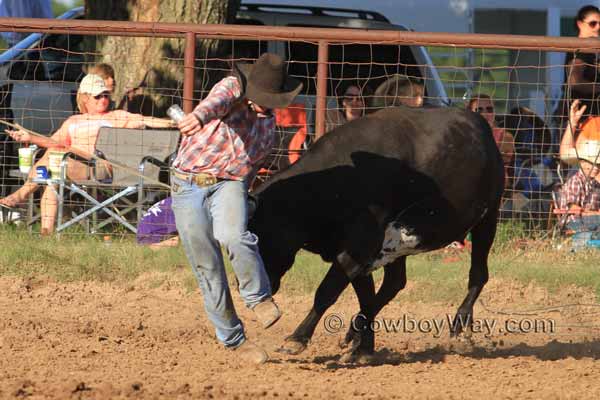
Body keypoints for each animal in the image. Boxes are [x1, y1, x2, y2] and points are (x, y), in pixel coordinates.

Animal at [246, 106, 504, 360]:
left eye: (258, 239)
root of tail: (478, 121)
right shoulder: (359, 254)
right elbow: (366, 296)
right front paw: (364, 347)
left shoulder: (360, 248)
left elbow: (326, 292)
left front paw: (297, 339)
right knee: (394, 283)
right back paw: (354, 334)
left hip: (487, 218)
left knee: (478, 274)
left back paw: (461, 325)